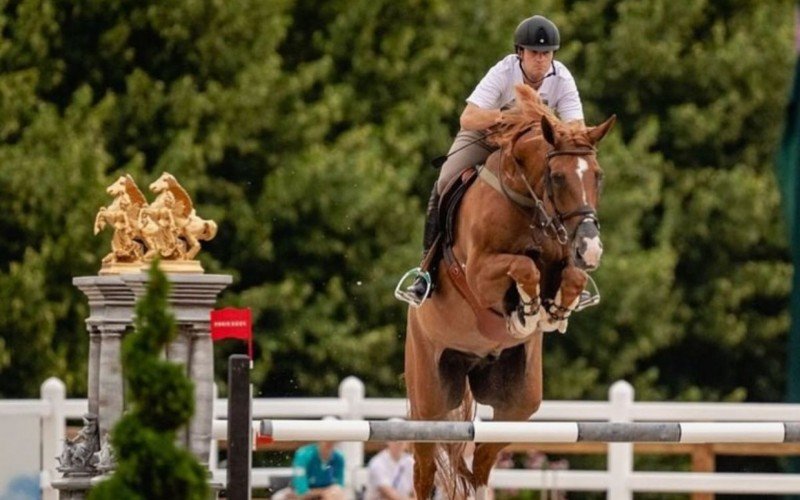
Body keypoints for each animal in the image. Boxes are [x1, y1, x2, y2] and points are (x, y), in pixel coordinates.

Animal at [404, 84, 616, 498]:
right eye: (557, 177)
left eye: (597, 177)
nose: (591, 249)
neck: (528, 203)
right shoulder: (479, 274)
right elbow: (523, 266)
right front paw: (528, 311)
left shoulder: (563, 260)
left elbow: (571, 277)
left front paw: (553, 312)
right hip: (429, 401)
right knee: (425, 468)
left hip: (517, 402)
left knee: (482, 462)